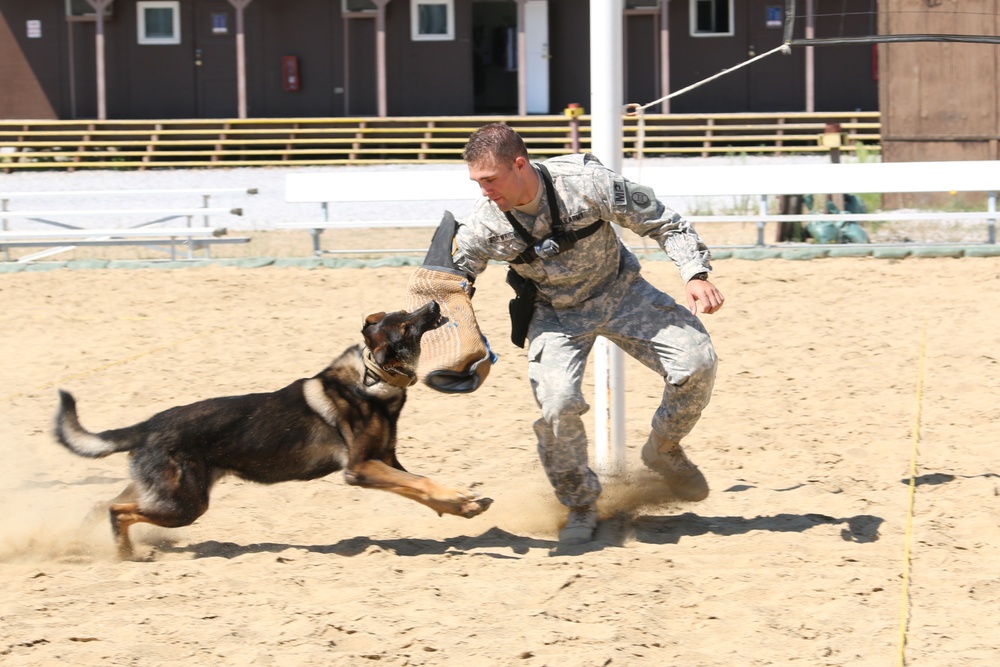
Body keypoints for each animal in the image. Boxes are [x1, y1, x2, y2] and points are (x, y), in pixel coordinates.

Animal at [54, 302, 492, 560]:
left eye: (406, 310)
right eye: (407, 323)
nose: (433, 304)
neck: (372, 376)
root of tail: (146, 426)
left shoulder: (384, 461)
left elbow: (419, 485)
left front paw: (461, 505)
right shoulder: (361, 469)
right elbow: (421, 482)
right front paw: (461, 498)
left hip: (165, 494)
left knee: (103, 504)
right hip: (185, 504)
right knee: (116, 510)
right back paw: (127, 554)